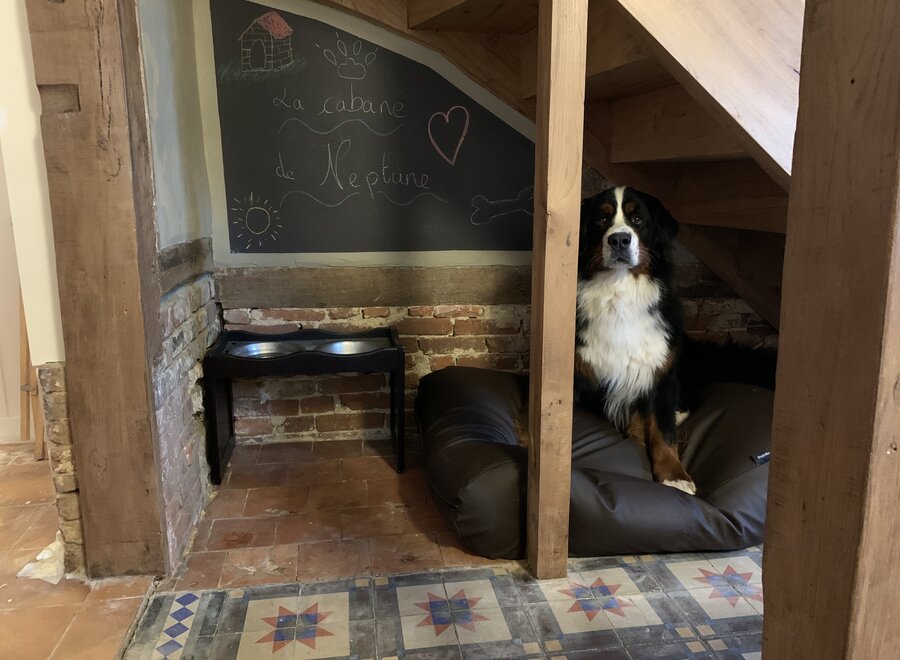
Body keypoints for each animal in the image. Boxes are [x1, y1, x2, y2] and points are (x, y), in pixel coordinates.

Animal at [576, 186, 780, 496]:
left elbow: (663, 431)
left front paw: (674, 476)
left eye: (637, 218)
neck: (619, 292)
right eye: (602, 218)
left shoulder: (660, 373)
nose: (620, 239)